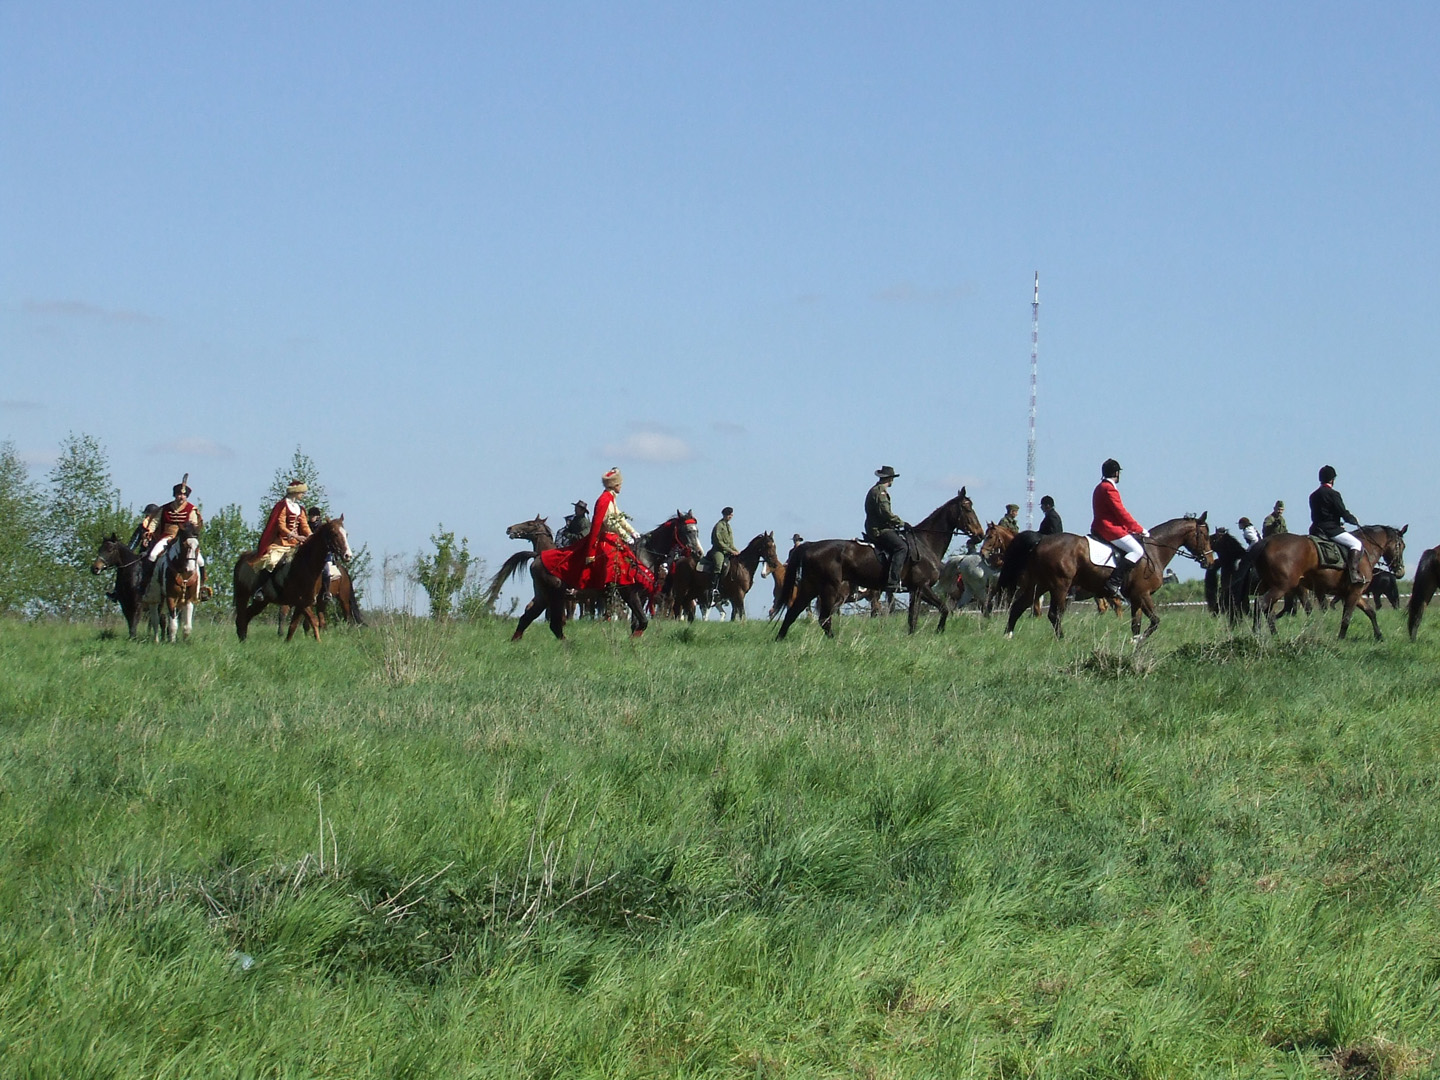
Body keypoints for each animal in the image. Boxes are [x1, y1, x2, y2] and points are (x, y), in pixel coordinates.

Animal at [775, 488, 984, 639]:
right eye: (967, 508)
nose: (980, 534)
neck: (925, 543)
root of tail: (811, 545)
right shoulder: (921, 587)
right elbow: (940, 609)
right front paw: (938, 632)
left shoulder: (915, 590)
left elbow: (915, 617)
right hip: (829, 589)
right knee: (824, 619)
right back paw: (834, 641)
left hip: (810, 587)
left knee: (792, 614)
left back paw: (779, 640)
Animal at [999, 514, 1213, 642]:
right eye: (1204, 534)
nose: (1209, 561)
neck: (1153, 551)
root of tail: (1042, 539)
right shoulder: (1143, 594)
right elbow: (1155, 621)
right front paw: (1141, 640)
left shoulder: (1136, 598)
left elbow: (1136, 624)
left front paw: (1135, 643)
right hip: (1059, 586)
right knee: (1054, 614)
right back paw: (1062, 640)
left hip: (1039, 584)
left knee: (1018, 607)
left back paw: (1008, 636)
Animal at [1241, 525, 1407, 641]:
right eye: (1402, 546)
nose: (1400, 571)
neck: (1366, 549)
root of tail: (1267, 541)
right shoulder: (1354, 592)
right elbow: (1346, 617)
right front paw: (1340, 639)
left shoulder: (1352, 593)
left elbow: (1370, 612)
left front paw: (1379, 636)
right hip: (1282, 587)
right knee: (1261, 604)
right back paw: (1257, 633)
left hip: (1273, 586)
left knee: (1268, 610)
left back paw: (1273, 634)